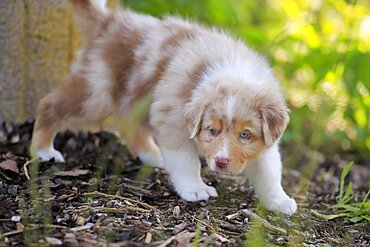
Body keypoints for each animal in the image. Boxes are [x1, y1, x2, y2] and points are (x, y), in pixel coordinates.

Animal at [31, 0, 298, 214]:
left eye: (245, 134)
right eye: (212, 130)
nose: (221, 163)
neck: (231, 69)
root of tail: (109, 21)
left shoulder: (266, 143)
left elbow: (269, 172)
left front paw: (279, 201)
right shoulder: (172, 119)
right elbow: (186, 161)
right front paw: (196, 189)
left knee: (127, 126)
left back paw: (152, 155)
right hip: (96, 94)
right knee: (50, 105)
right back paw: (43, 150)